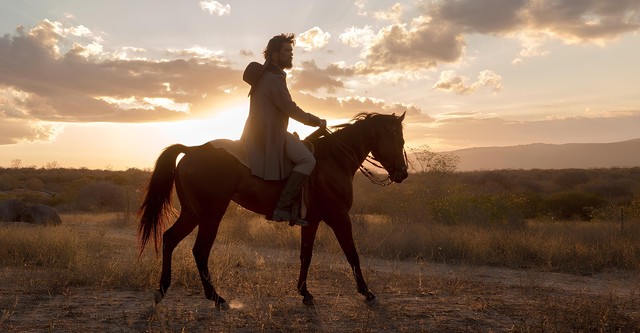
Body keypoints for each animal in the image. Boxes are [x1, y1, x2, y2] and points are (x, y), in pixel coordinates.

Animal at [139, 111, 410, 306]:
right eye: (398, 139)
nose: (403, 174)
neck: (334, 160)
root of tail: (191, 150)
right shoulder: (340, 217)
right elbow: (352, 254)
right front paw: (367, 293)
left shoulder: (312, 221)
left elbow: (306, 255)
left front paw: (305, 293)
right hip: (210, 216)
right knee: (199, 251)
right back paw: (216, 298)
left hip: (192, 213)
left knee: (170, 239)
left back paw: (163, 290)